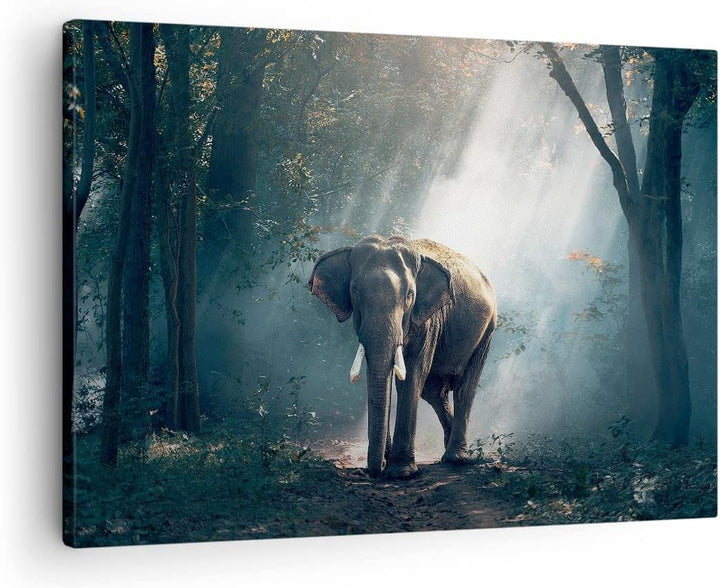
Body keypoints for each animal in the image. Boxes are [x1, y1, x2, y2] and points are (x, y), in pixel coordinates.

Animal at [308, 235, 496, 479]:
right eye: (355, 291)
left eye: (409, 295)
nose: (374, 471)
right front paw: (388, 463)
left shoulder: (428, 319)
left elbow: (413, 374)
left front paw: (401, 472)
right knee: (434, 392)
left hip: (487, 330)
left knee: (465, 387)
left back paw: (457, 459)